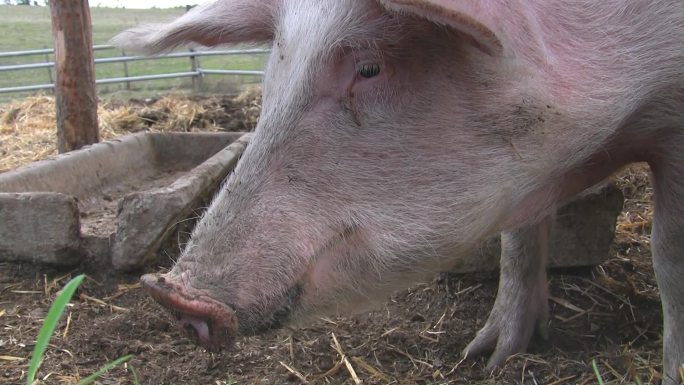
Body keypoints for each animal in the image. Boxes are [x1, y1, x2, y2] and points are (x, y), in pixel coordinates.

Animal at [113, 0, 684, 380]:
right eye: (274, 69)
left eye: (369, 67)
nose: (167, 292)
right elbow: (518, 240)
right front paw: (487, 357)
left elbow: (667, 257)